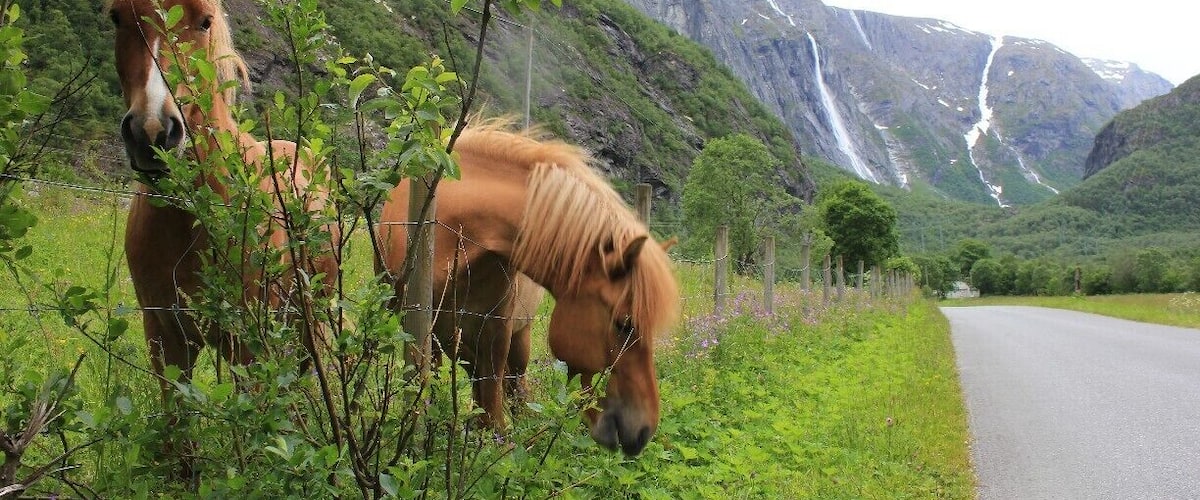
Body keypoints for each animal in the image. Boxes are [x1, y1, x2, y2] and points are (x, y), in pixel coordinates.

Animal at [107, 0, 337, 408]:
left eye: (205, 22)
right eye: (117, 17)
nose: (152, 131)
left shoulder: (248, 344)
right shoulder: (166, 339)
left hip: (308, 325)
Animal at [378, 120, 680, 456]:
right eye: (624, 324)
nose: (643, 430)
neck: (451, 233)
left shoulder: (495, 330)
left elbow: (492, 400)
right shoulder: (424, 332)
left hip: (515, 340)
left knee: (514, 390)